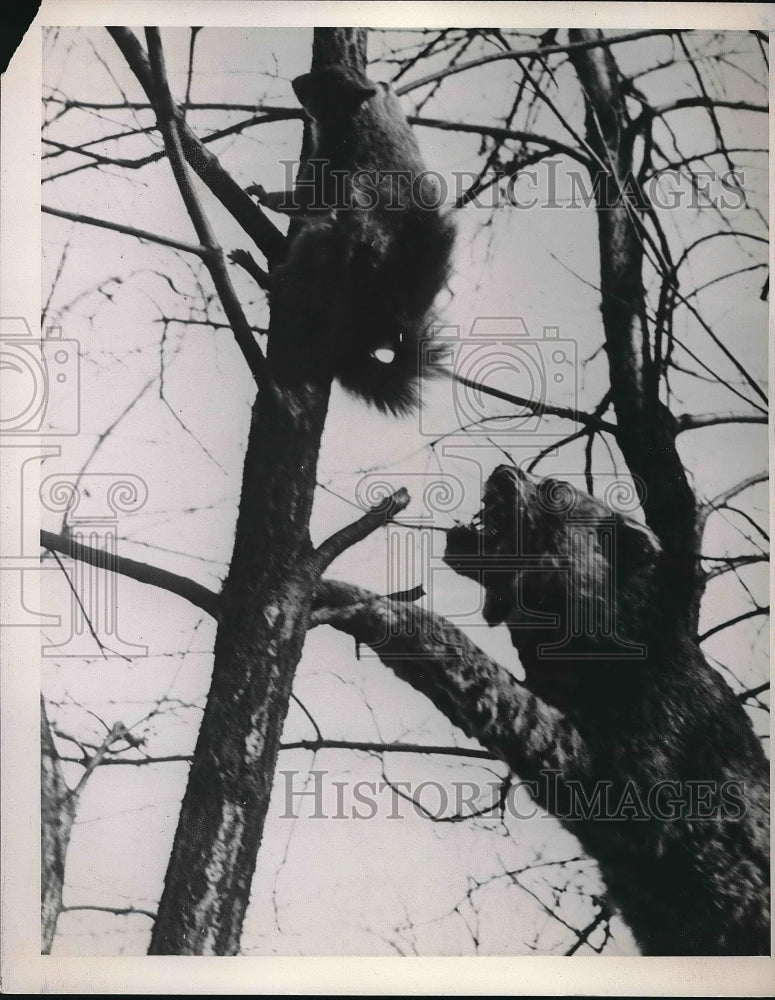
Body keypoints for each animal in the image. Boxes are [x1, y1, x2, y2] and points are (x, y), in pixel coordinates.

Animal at [244, 65, 454, 414]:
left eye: (331, 83)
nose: (296, 82)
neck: (369, 111)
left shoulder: (335, 155)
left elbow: (311, 198)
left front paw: (267, 196)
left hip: (326, 255)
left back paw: (267, 277)